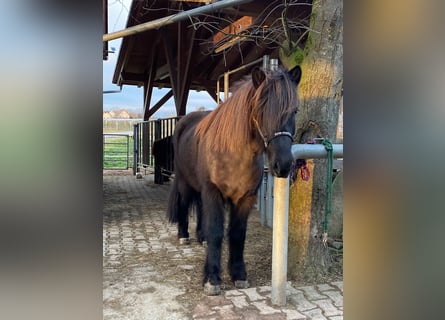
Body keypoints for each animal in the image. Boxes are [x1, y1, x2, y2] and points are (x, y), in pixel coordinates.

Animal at [166, 65, 302, 296]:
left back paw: (200, 237)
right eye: (261, 108)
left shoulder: (245, 198)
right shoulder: (213, 192)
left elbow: (238, 234)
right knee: (184, 204)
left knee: (200, 207)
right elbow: (216, 232)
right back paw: (184, 235)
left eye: (294, 111)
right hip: (185, 182)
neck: (233, 155)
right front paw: (212, 279)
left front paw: (239, 275)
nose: (283, 165)